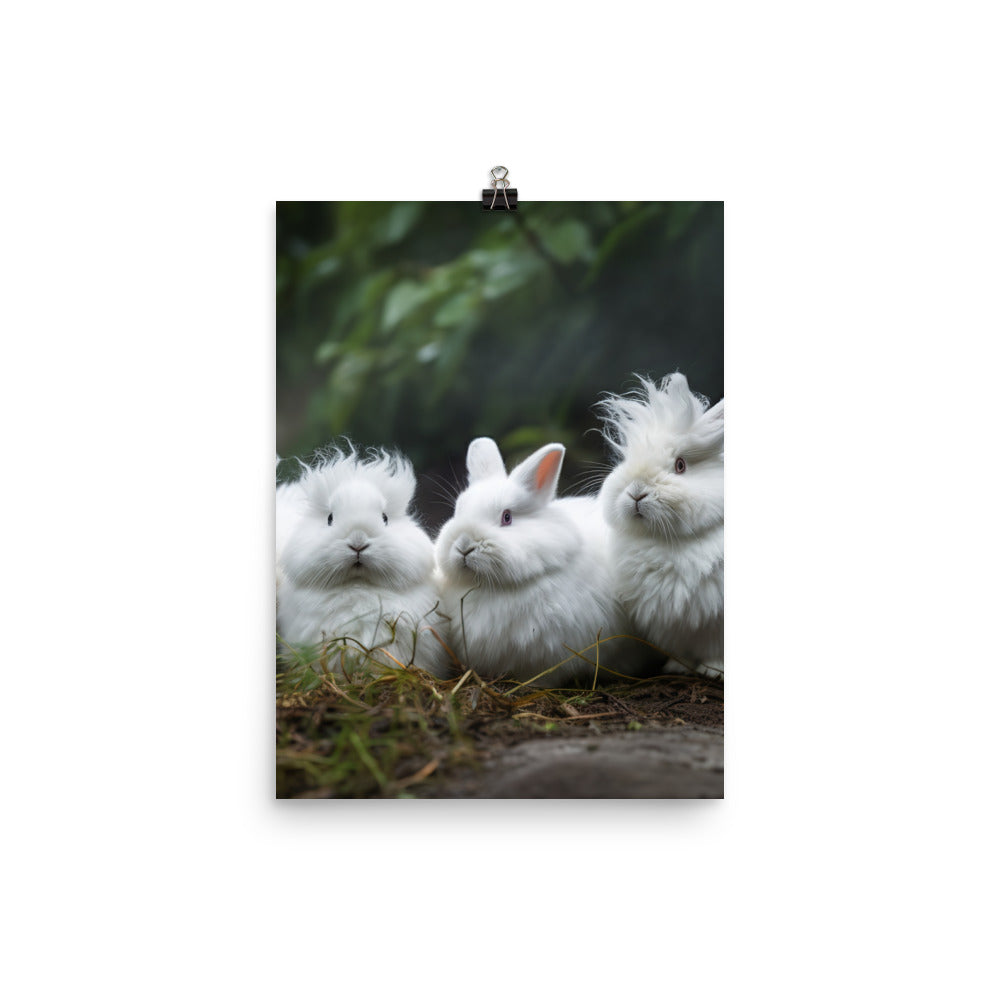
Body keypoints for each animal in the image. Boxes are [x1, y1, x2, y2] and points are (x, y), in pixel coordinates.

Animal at [596, 372, 724, 678]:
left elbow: (716, 651)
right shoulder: (674, 625)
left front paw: (714, 671)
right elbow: (683, 651)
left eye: (680, 465)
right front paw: (676, 668)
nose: (636, 492)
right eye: (626, 460)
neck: (667, 542)